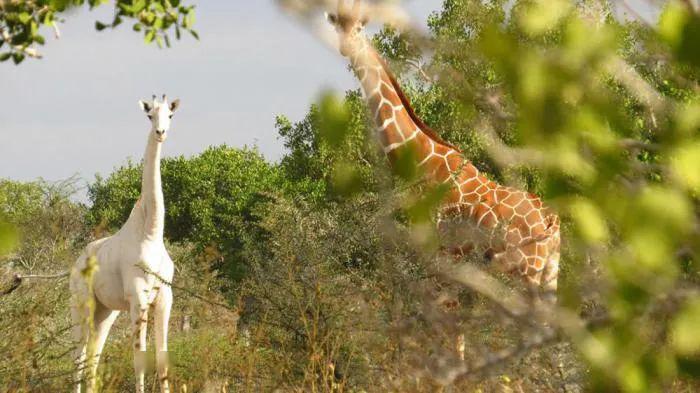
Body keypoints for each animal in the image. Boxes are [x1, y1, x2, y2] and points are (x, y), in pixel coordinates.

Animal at [70, 95, 180, 392]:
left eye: (170, 115)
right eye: (149, 115)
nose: (161, 133)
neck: (151, 234)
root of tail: (76, 263)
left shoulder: (165, 298)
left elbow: (163, 359)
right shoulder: (137, 298)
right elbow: (139, 359)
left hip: (106, 311)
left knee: (93, 357)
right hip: (82, 304)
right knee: (79, 355)